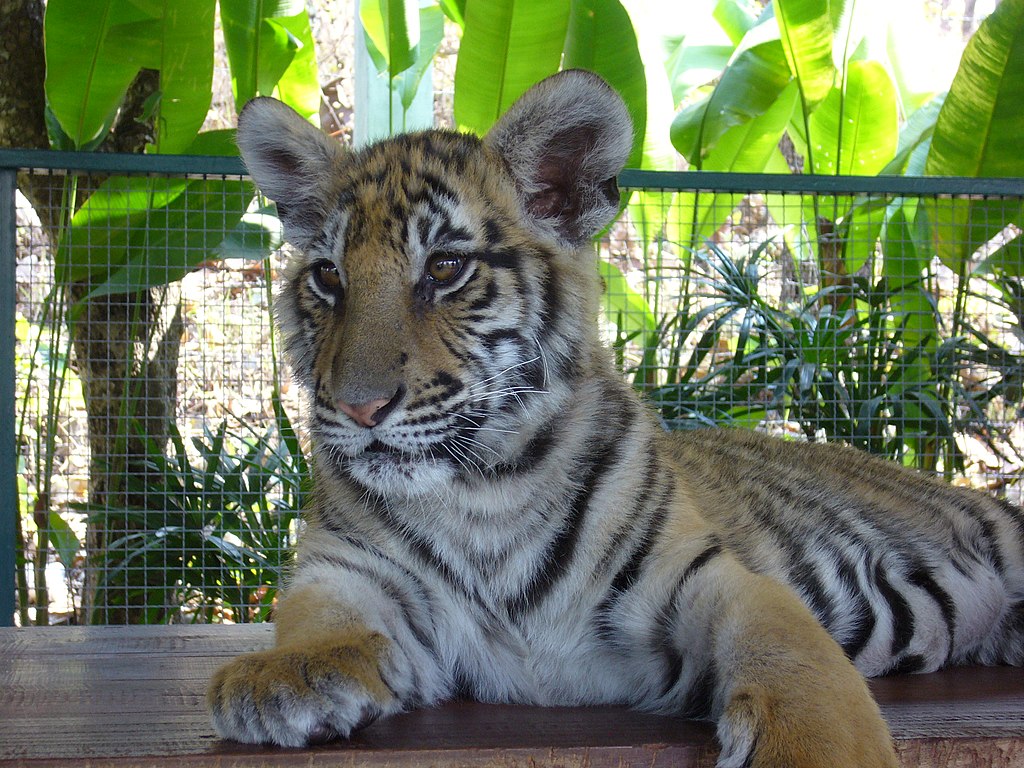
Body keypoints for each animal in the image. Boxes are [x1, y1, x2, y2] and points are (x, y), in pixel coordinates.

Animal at [208, 69, 1024, 768]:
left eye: (444, 268)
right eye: (328, 277)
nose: (357, 406)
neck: (483, 491)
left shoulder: (711, 580)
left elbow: (800, 671)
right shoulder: (347, 569)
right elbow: (315, 616)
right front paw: (281, 675)